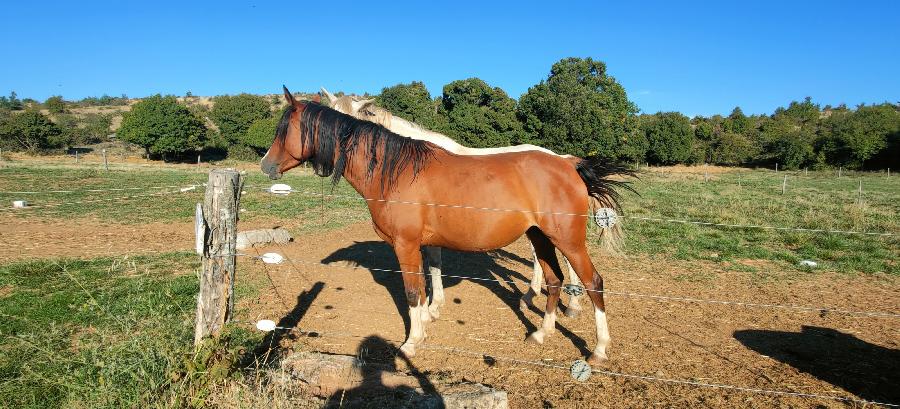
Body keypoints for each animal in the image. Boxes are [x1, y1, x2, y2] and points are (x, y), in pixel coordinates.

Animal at [320, 87, 621, 321]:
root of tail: (566, 160)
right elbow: (434, 264)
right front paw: (434, 306)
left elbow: (433, 264)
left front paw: (432, 308)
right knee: (541, 259)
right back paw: (530, 296)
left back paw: (571, 306)